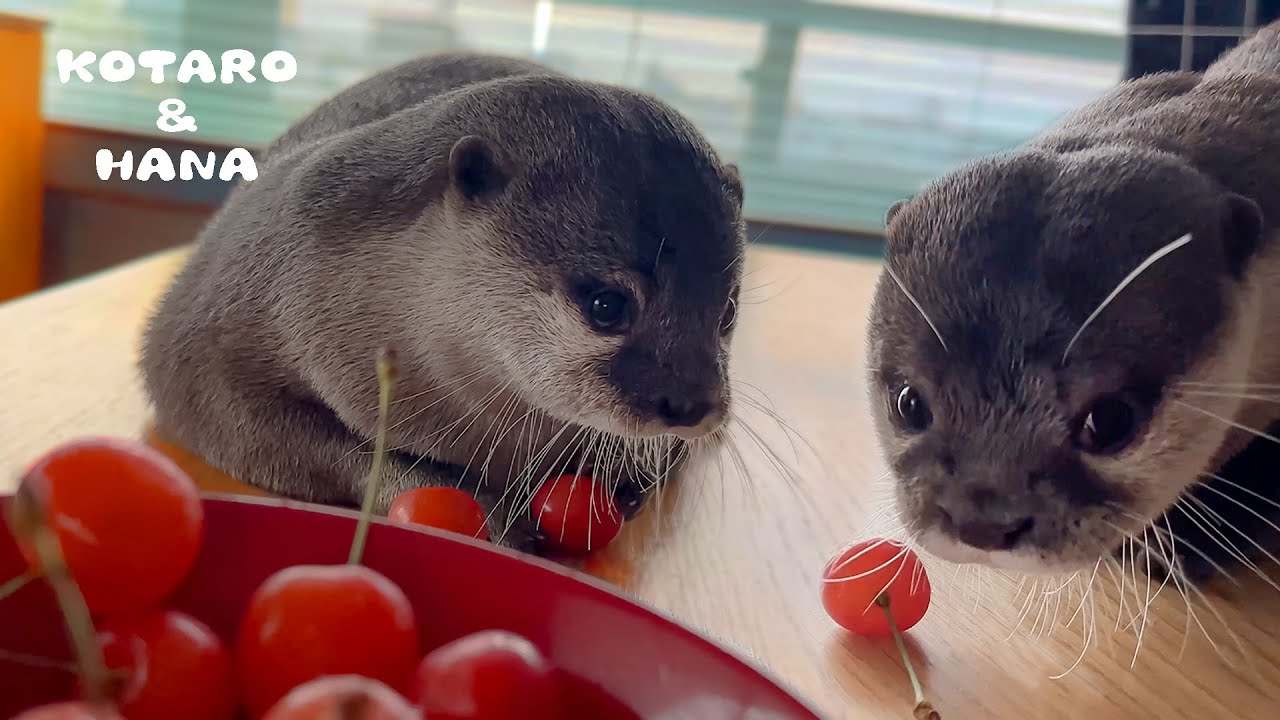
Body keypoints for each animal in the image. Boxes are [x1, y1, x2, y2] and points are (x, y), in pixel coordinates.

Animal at [139, 54, 746, 549]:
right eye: (607, 306)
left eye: (729, 311)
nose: (691, 404)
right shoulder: (210, 349)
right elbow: (310, 446)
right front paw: (478, 507)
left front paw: (626, 465)